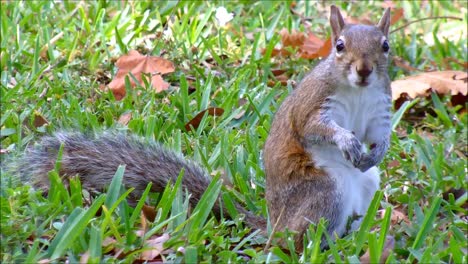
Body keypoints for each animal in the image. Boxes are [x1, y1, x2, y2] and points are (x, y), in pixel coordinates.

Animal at [10, 5, 392, 250]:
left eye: (386, 46)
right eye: (339, 46)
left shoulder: (379, 107)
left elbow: (378, 134)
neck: (357, 91)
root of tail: (274, 225)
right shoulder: (313, 105)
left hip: (366, 186)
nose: (364, 70)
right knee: (297, 241)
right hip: (323, 191)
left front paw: (377, 151)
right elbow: (315, 128)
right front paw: (346, 141)